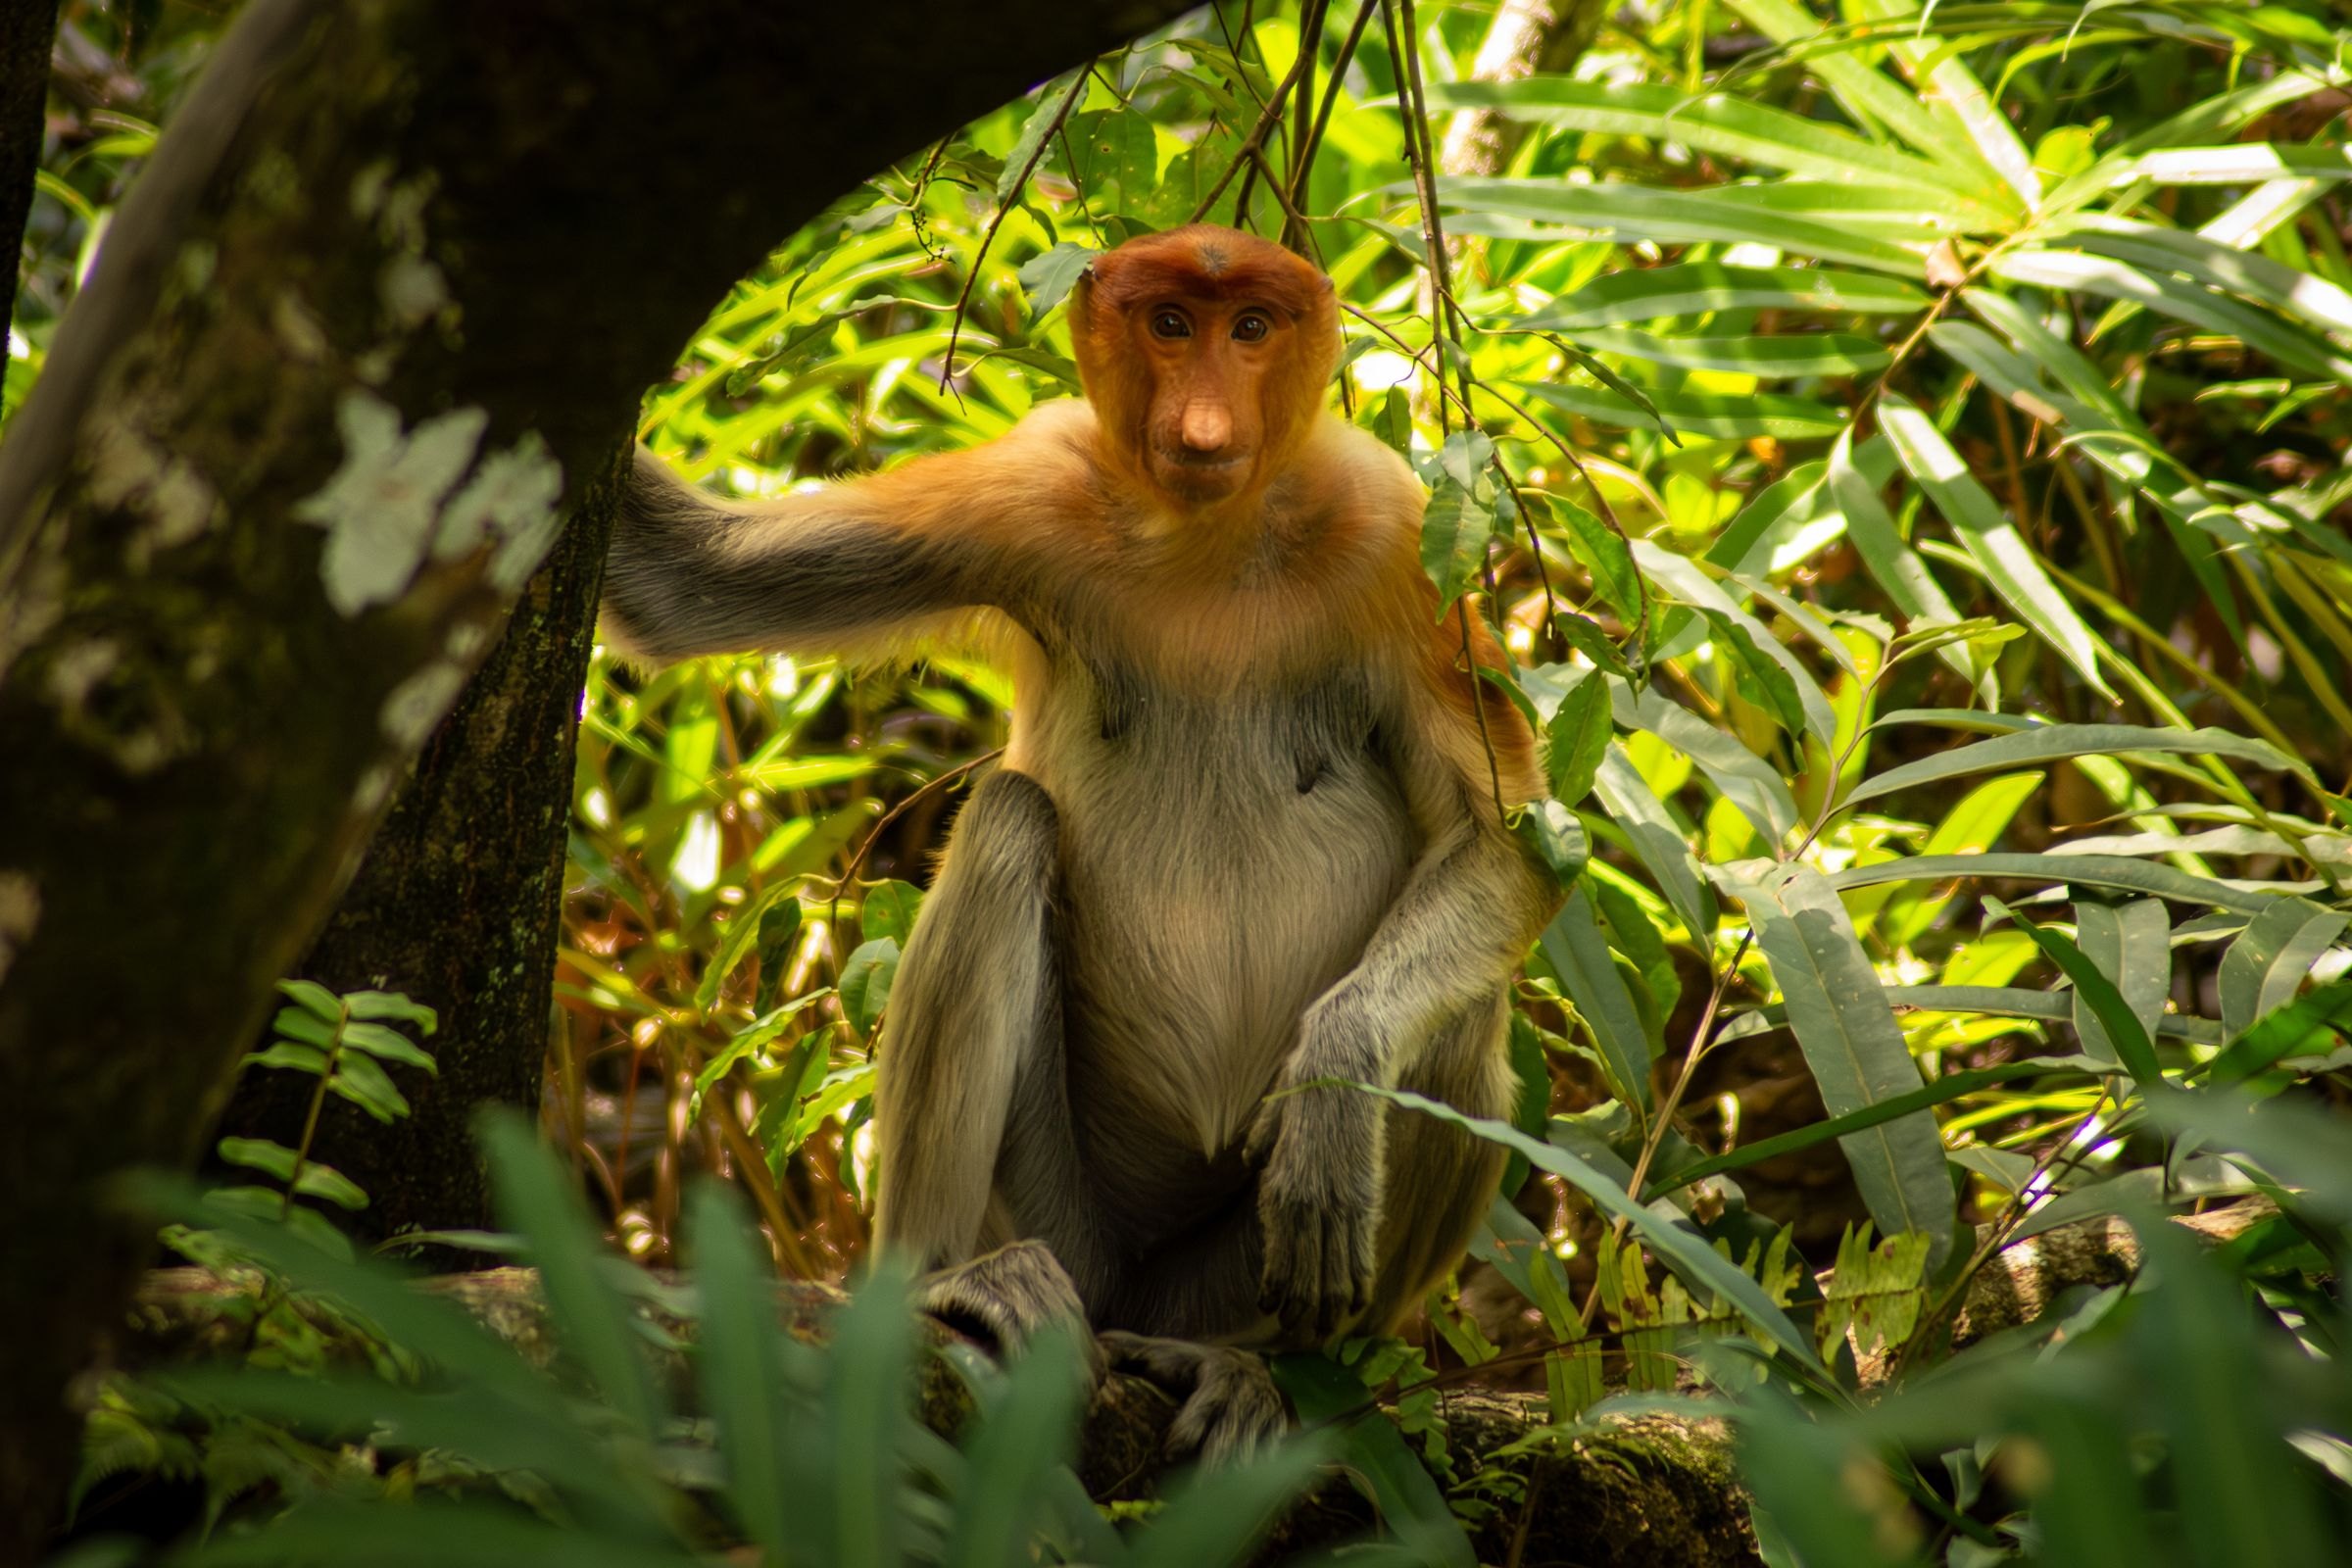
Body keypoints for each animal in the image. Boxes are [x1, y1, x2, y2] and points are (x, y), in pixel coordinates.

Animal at [601, 225, 1558, 1456]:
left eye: (1252, 329)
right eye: (1170, 326)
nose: (1203, 428)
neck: (1208, 537)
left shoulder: (1391, 534)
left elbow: (1506, 841)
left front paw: (1333, 1088)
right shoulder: (1031, 487)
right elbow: (685, 585)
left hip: (1222, 1273)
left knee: (1454, 1023)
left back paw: (1256, 1368)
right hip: (1063, 1218)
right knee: (1009, 820)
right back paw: (948, 1284)